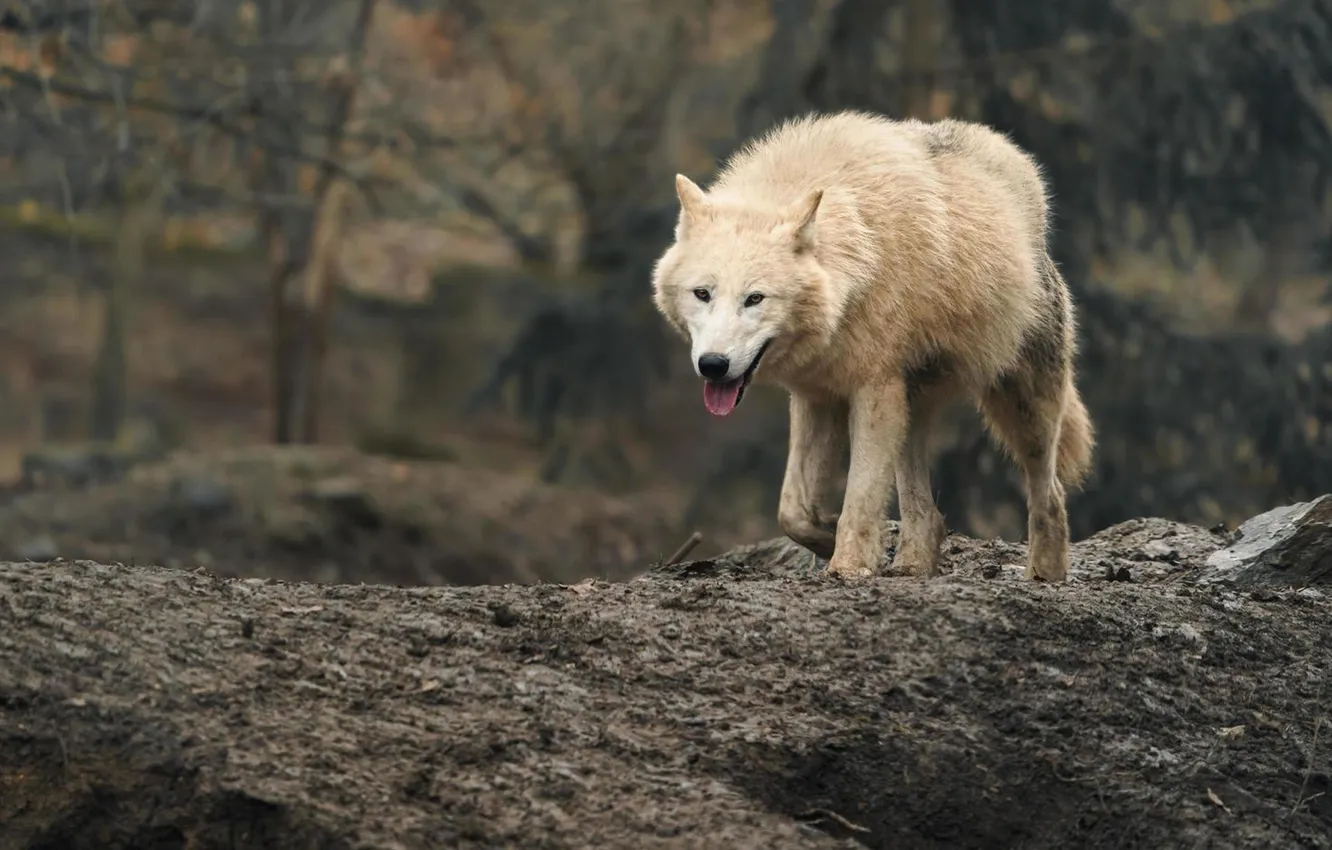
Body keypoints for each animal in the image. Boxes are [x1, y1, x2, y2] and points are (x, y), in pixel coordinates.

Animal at [650, 110, 1094, 581]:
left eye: (755, 298)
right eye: (703, 294)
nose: (713, 364)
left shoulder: (873, 390)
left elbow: (860, 498)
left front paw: (849, 564)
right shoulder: (816, 395)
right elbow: (793, 512)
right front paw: (831, 540)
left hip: (1020, 406)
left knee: (1050, 491)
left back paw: (1045, 571)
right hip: (911, 405)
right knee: (927, 510)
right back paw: (914, 563)